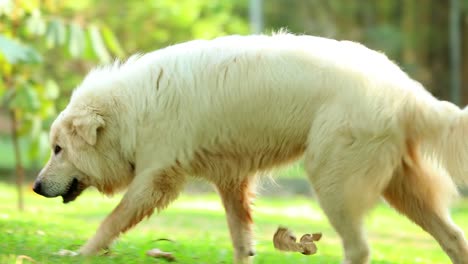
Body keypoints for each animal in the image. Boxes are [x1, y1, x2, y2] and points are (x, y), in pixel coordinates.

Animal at [33, 33, 468, 264]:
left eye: (57, 149)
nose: (35, 188)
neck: (131, 109)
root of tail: (406, 90)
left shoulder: (156, 179)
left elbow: (111, 220)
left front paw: (80, 254)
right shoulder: (232, 181)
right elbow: (241, 239)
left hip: (334, 183)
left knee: (359, 249)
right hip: (402, 189)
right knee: (453, 236)